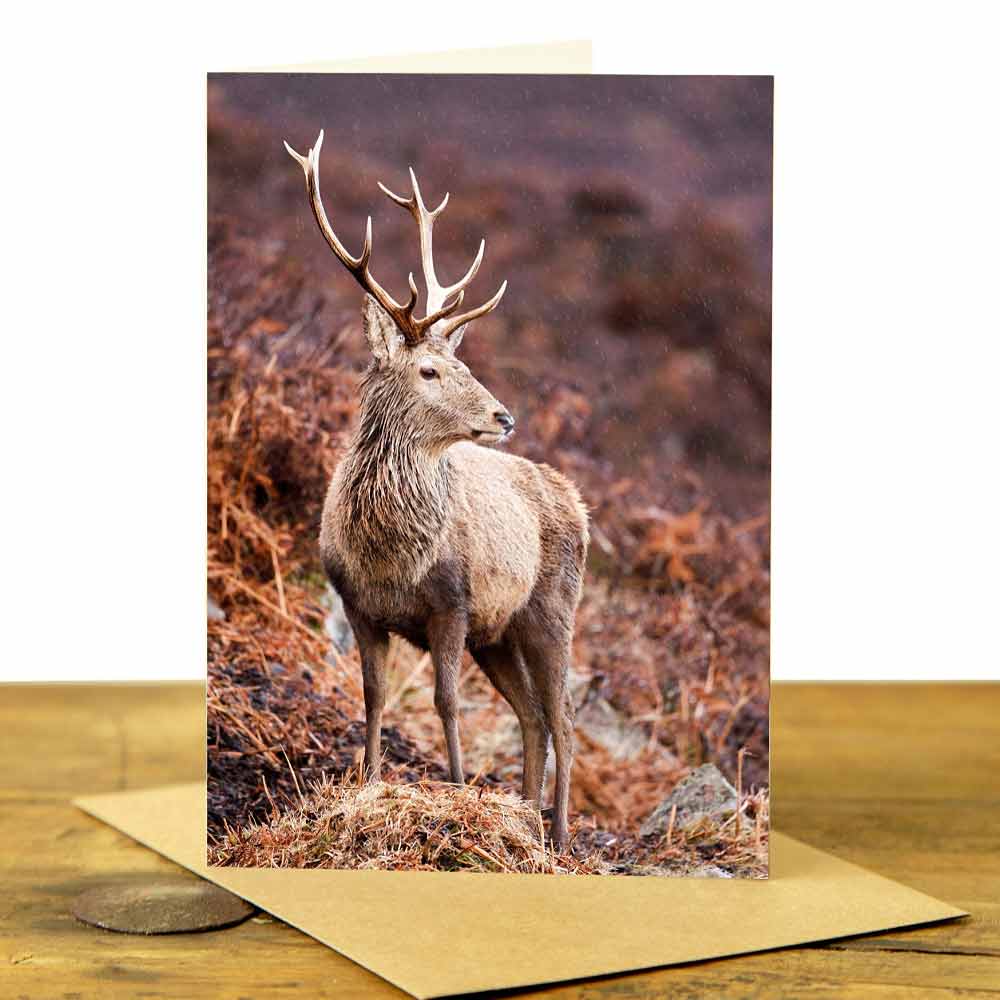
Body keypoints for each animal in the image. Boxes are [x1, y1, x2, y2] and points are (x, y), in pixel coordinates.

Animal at [284, 131, 589, 850]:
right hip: (497, 634)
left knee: (564, 718)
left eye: (465, 362)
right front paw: (368, 785)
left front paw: (453, 791)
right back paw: (526, 816)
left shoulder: (453, 601)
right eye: (428, 369)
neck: (391, 555)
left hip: (551, 608)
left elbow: (445, 702)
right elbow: (373, 697)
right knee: (534, 717)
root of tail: (579, 502)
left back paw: (560, 835)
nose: (505, 415)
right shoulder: (358, 605)